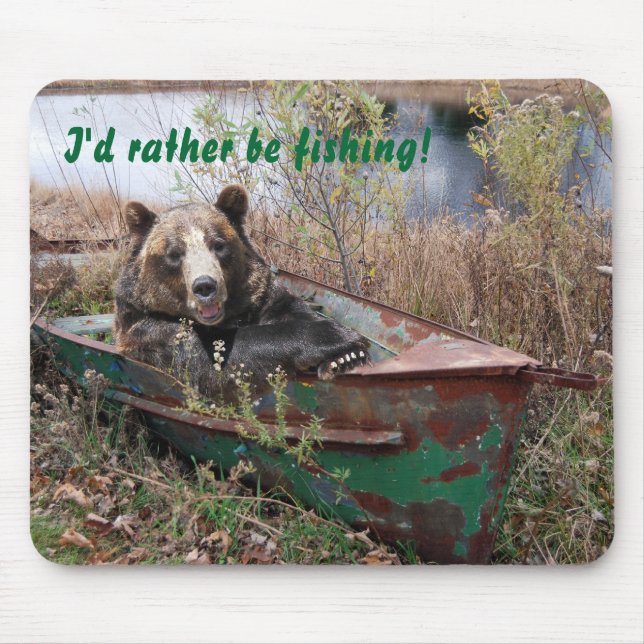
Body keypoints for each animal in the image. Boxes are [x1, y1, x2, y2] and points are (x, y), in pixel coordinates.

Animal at [113, 184, 370, 400]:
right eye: (174, 253)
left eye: (218, 244)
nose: (205, 286)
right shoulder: (148, 329)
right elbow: (214, 361)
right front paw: (336, 338)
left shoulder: (261, 297)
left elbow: (296, 310)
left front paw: (345, 357)